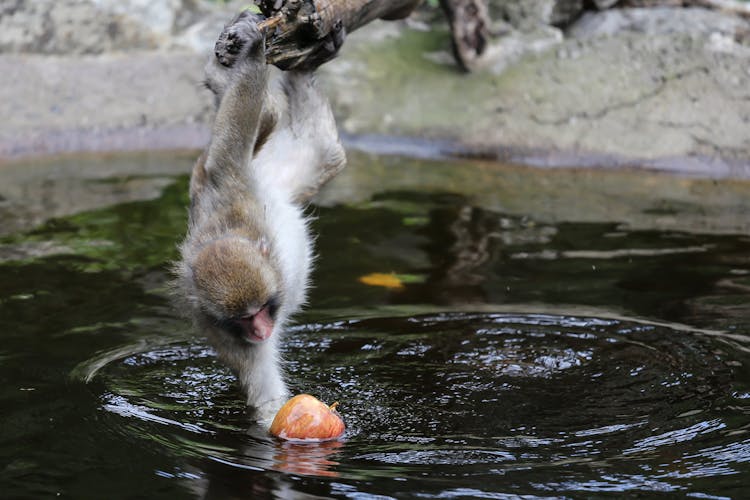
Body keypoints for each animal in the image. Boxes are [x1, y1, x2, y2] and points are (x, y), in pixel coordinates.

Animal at [176, 10, 350, 422]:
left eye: (260, 311)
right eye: (243, 320)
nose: (260, 332)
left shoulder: (235, 186)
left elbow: (228, 151)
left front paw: (253, 50)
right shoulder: (221, 331)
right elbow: (265, 392)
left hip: (258, 170)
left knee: (262, 117)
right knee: (326, 151)